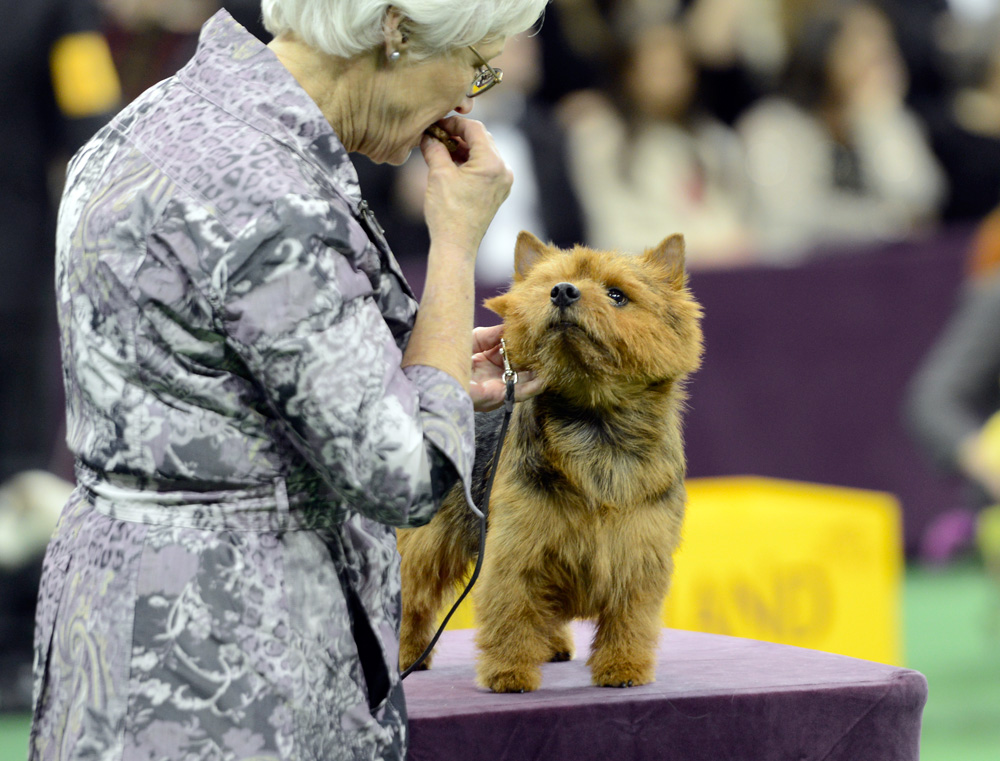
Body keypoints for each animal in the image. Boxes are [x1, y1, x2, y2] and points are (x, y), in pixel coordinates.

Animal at [398, 232, 704, 696]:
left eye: (618, 295)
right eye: (548, 285)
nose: (562, 292)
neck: (595, 426)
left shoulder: (638, 552)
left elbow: (630, 617)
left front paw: (624, 667)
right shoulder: (516, 549)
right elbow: (511, 613)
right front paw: (509, 674)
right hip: (429, 539)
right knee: (412, 596)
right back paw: (407, 656)